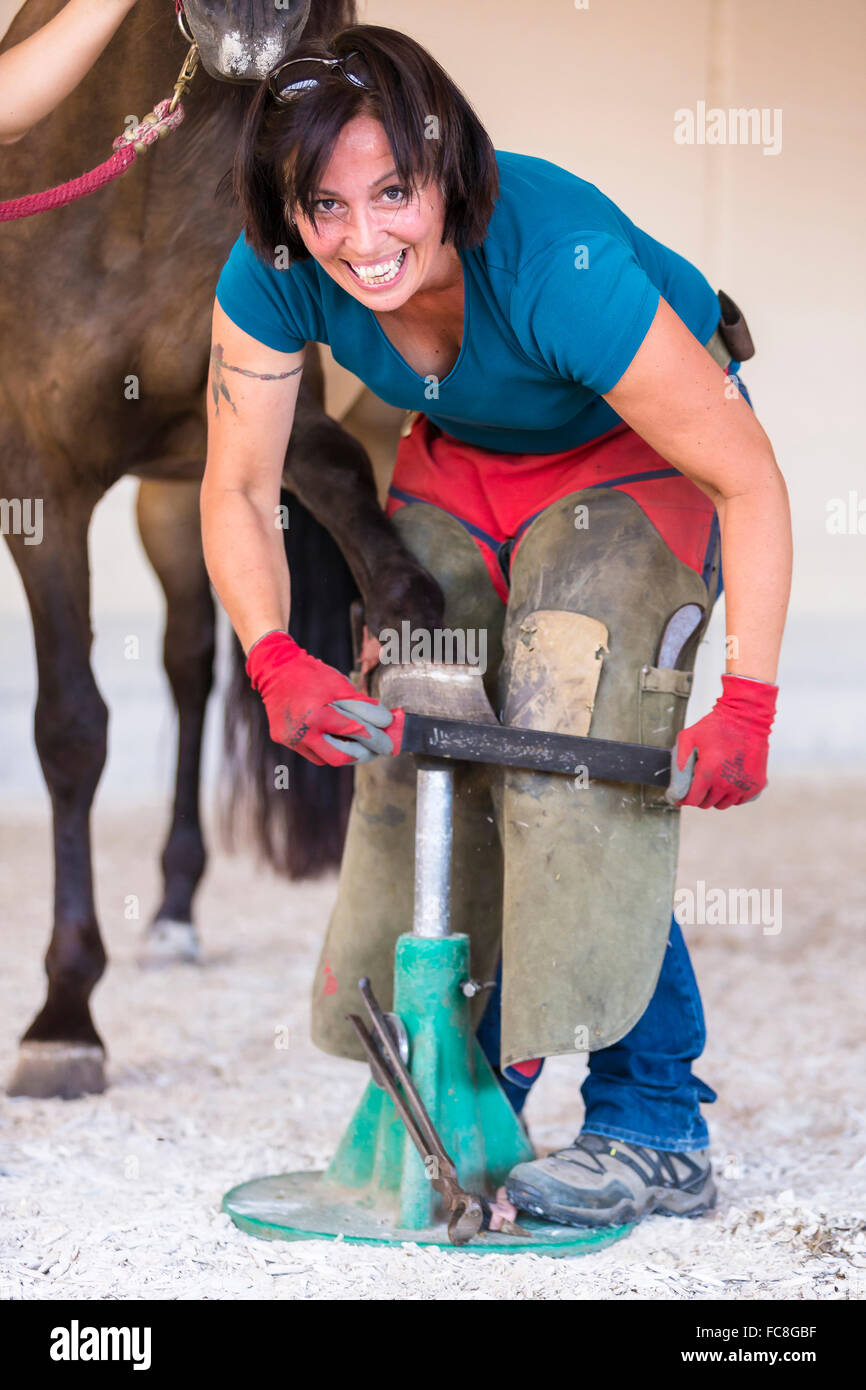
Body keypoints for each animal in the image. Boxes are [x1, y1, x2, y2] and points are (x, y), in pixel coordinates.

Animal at [0, 0, 442, 1099]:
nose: (245, 19)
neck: (139, 206)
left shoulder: (258, 432)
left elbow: (356, 513)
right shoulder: (41, 485)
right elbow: (71, 730)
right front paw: (64, 1016)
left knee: (201, 660)